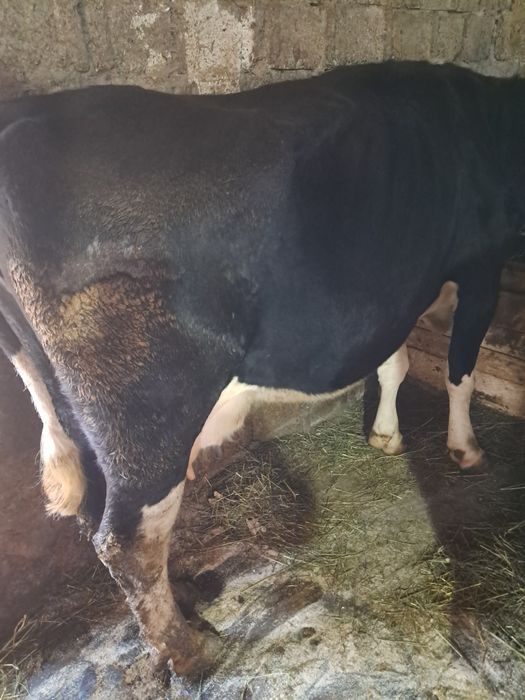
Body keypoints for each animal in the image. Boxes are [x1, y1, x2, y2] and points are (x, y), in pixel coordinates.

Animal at [0, 61, 524, 677]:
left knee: (95, 511)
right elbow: (459, 371)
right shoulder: (480, 266)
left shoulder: (396, 292)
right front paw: (465, 448)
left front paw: (385, 434)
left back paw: (186, 599)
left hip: (70, 407)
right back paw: (189, 649)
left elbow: (394, 363)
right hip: (146, 416)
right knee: (127, 541)